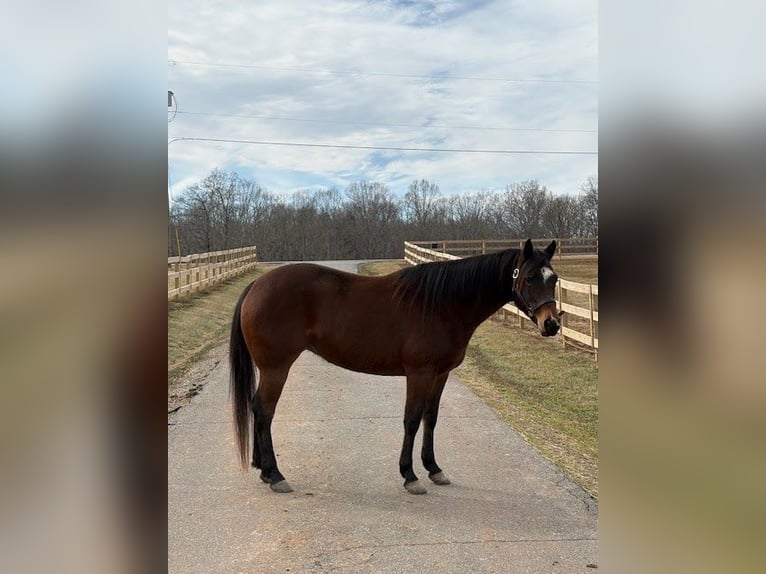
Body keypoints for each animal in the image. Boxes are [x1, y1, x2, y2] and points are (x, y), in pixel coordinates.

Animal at [229, 239, 561, 494]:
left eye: (554, 279)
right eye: (529, 277)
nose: (552, 325)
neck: (443, 305)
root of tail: (256, 285)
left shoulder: (440, 374)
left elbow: (430, 418)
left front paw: (433, 468)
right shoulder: (419, 374)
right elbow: (411, 420)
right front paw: (410, 475)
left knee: (258, 409)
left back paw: (263, 469)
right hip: (276, 368)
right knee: (264, 410)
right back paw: (275, 474)